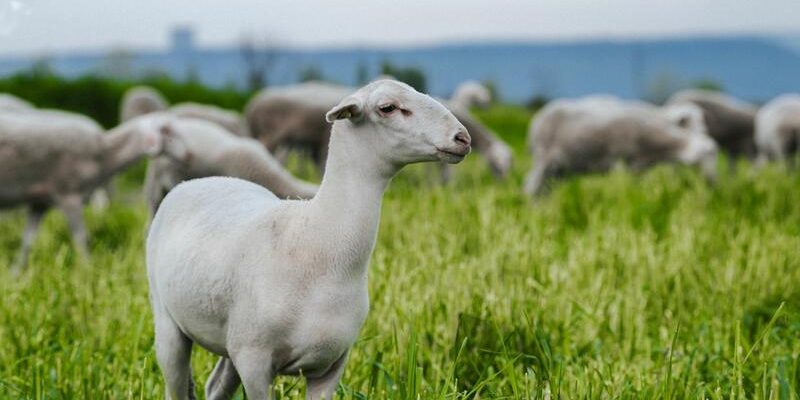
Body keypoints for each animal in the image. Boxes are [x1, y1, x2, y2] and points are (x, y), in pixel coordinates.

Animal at [2, 110, 186, 272]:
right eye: (166, 129)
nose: (187, 154)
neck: (105, 155)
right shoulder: (70, 195)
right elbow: (81, 239)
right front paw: (87, 270)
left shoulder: (40, 202)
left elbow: (28, 241)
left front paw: (16, 272)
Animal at [524, 97, 720, 197]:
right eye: (710, 153)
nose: (712, 183)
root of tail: (537, 118)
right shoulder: (620, 162)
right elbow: (623, 188)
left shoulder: (638, 167)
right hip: (543, 157)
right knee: (530, 186)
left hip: (560, 169)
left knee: (545, 189)